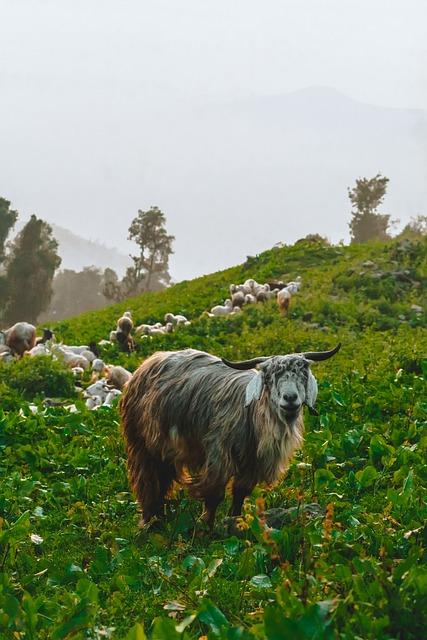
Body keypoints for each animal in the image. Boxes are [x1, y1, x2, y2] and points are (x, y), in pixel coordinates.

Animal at [120, 342, 342, 528]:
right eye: (269, 377)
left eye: (303, 373)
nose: (290, 398)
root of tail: (145, 365)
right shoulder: (219, 455)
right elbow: (215, 494)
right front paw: (206, 527)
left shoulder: (252, 465)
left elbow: (240, 492)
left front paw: (235, 521)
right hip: (140, 443)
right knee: (147, 481)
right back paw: (150, 522)